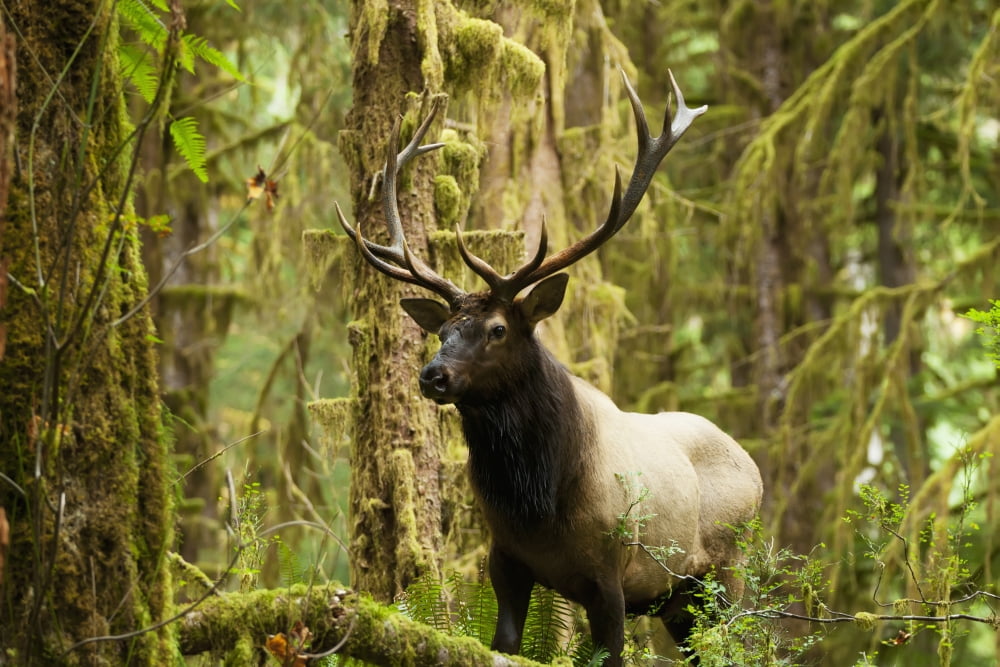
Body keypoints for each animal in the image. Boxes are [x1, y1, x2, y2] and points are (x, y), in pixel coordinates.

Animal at [335, 70, 763, 666]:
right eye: (442, 332)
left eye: (497, 329)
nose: (431, 376)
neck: (537, 503)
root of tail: (755, 468)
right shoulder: (506, 560)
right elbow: (505, 645)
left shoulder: (612, 574)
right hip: (678, 600)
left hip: (728, 572)